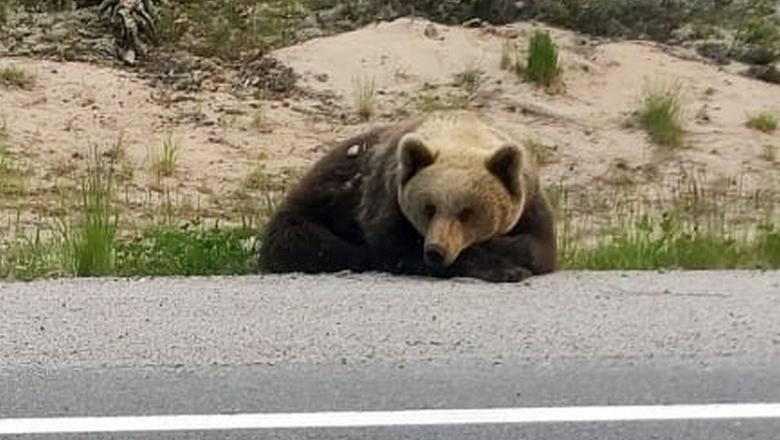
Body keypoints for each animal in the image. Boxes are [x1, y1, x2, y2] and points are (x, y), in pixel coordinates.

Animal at [258, 110, 556, 282]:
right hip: (312, 208)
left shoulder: (530, 198)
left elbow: (538, 246)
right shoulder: (386, 195)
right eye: (429, 207)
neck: (462, 133)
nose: (436, 250)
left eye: (467, 212)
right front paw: (503, 269)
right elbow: (398, 246)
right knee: (314, 244)